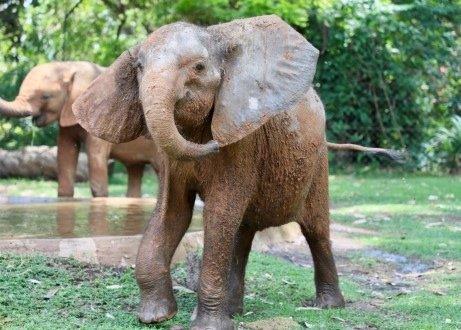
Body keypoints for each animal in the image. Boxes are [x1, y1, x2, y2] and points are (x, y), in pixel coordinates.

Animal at [72, 14, 398, 330]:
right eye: (138, 68)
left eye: (199, 67)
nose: (215, 143)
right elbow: (173, 211)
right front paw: (156, 317)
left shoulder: (244, 144)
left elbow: (219, 211)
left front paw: (207, 326)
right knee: (242, 234)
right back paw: (235, 310)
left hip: (318, 164)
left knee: (316, 230)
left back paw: (328, 306)